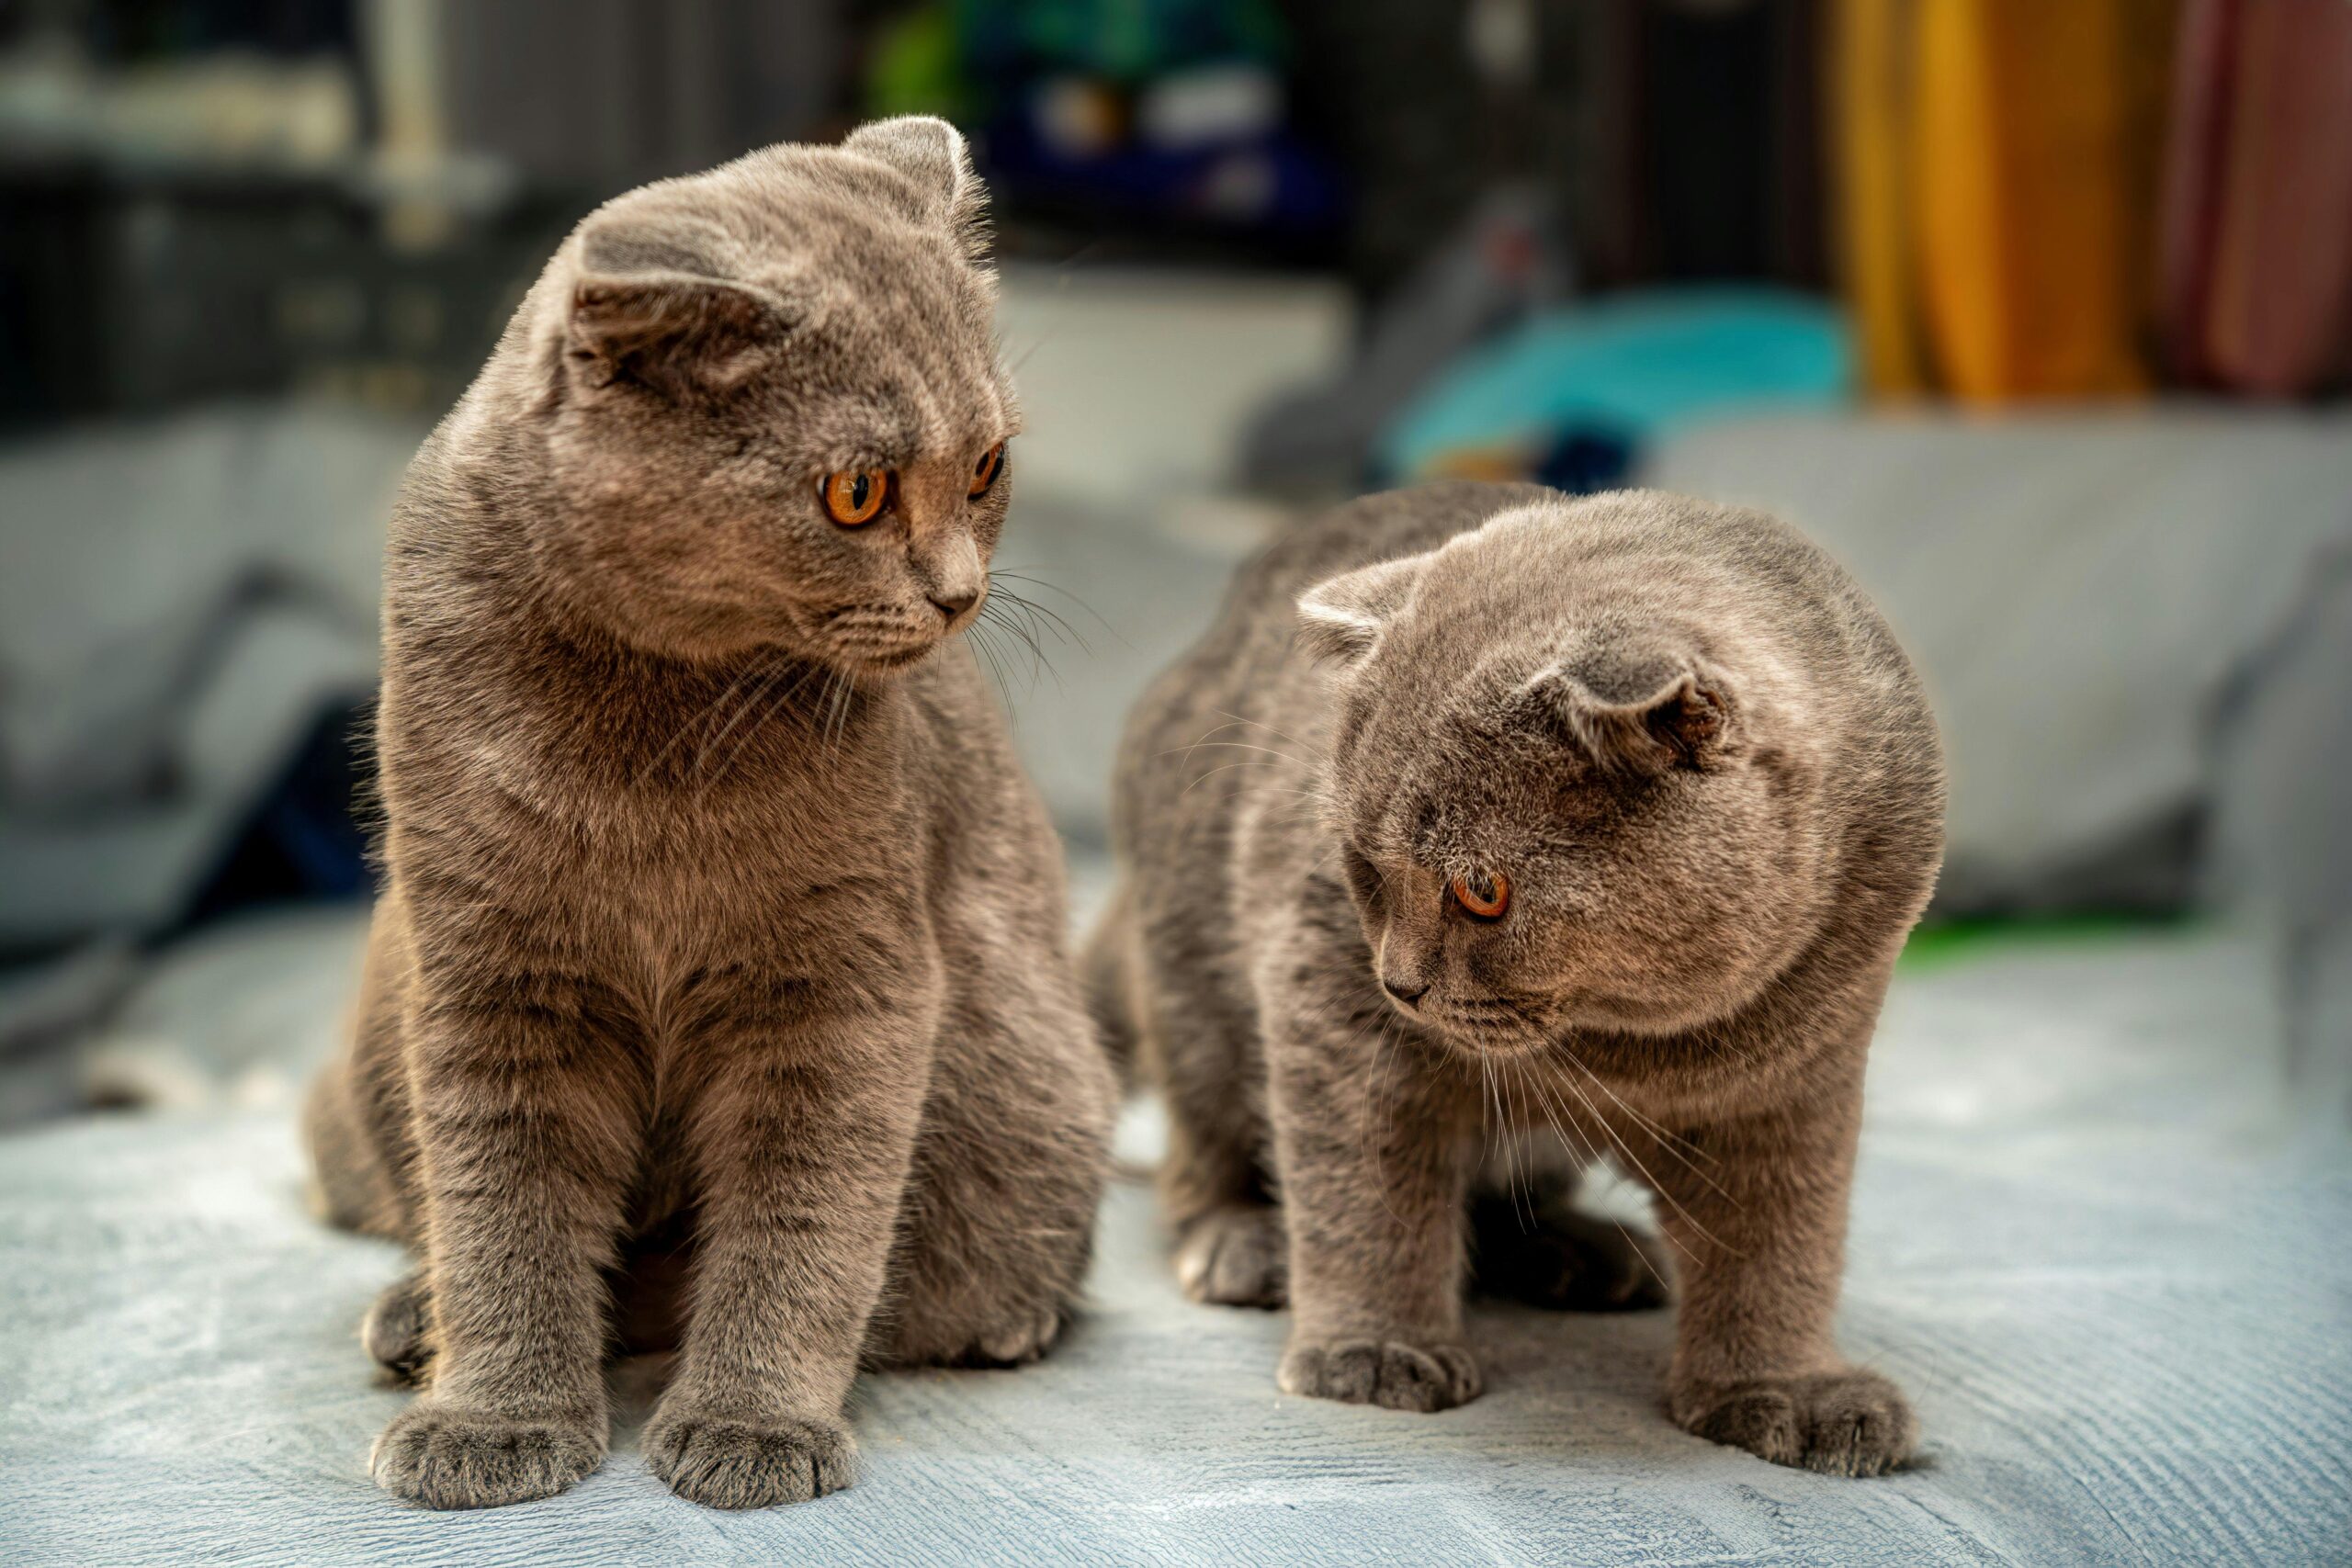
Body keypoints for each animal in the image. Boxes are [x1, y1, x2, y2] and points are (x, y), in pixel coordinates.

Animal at [305, 116, 1119, 1514]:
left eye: (987, 465)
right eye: (856, 493)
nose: (959, 593)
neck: (657, 727)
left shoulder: (845, 981)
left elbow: (804, 1220)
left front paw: (751, 1424)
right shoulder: (487, 965)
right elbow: (501, 1205)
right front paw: (494, 1419)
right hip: (379, 990)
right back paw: (419, 1314)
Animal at [1095, 484, 1947, 1476]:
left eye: (1483, 890)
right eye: (1363, 866)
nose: (1399, 982)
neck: (1629, 1048)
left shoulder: (1797, 1077)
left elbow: (1780, 1241)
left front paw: (1786, 1390)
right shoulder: (1330, 1007)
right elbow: (1362, 1188)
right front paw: (1373, 1350)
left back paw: (1578, 1254)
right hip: (1191, 986)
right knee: (1203, 1148)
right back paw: (1244, 1242)